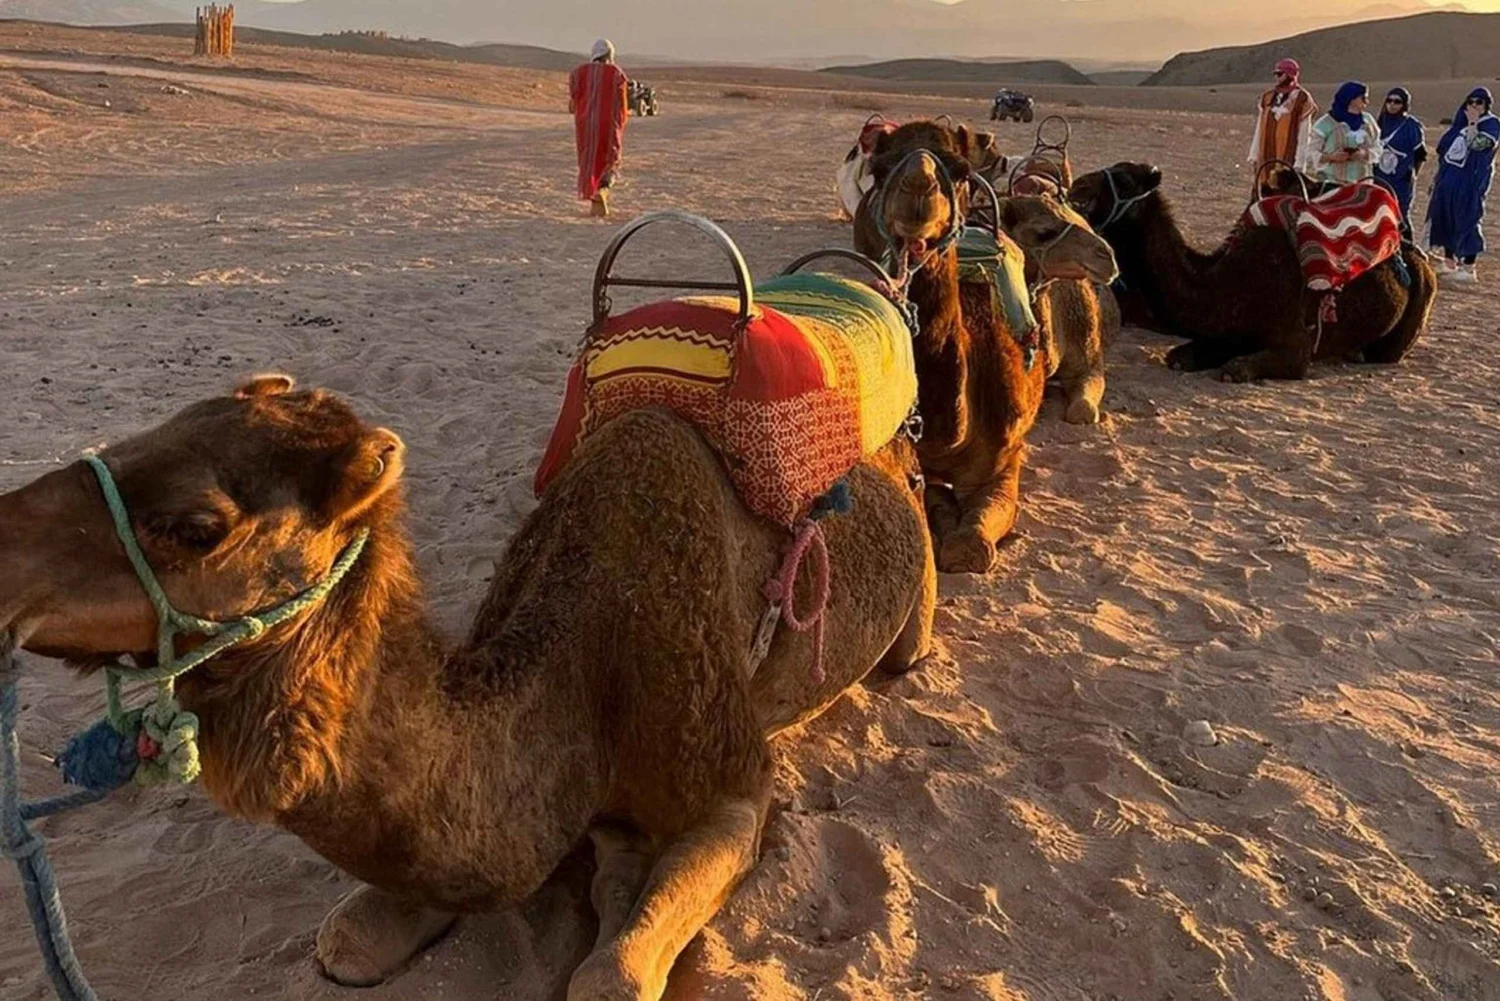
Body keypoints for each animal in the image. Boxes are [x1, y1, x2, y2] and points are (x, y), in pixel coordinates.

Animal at [0, 375, 935, 1001]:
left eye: (197, 526)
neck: (586, 666)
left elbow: (612, 976)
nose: (3, 562)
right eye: (133, 439)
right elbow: (348, 937)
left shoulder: (734, 783)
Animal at [1068, 161, 1437, 381]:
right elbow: (1179, 356)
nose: (1077, 186)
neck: (1226, 284)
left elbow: (1237, 368)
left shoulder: (1296, 346)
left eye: (1125, 179)